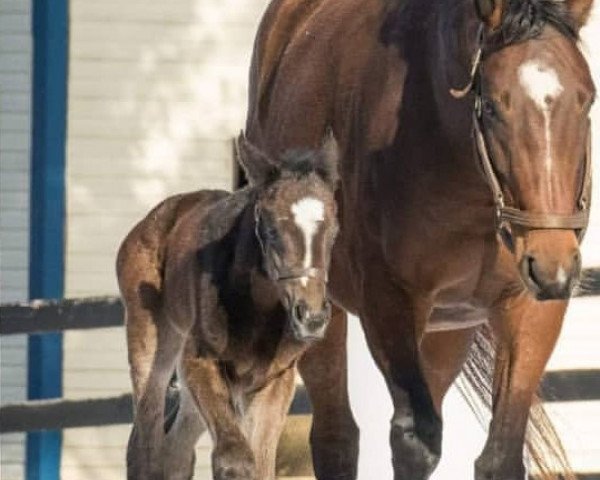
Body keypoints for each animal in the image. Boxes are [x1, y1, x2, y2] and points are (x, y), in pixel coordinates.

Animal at [116, 134, 340, 480]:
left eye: (333, 230)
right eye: (272, 230)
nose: (312, 318)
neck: (258, 312)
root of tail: (152, 219)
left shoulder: (275, 381)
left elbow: (261, 462)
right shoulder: (199, 361)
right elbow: (234, 459)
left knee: (175, 453)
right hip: (150, 343)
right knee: (146, 443)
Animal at [246, 0, 592, 478]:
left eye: (587, 99)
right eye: (492, 108)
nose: (552, 262)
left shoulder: (531, 308)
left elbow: (501, 453)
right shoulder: (389, 301)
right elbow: (415, 438)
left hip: (451, 328)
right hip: (318, 310)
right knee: (336, 436)